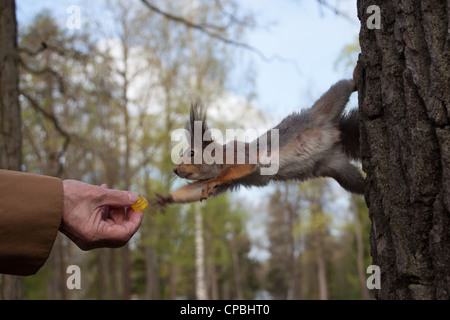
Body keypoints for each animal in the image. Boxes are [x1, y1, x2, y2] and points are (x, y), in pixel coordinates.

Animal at [154, 76, 362, 209]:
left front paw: (215, 179)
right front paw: (166, 198)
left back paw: (356, 75)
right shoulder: (229, 182)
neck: (218, 159)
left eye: (191, 153)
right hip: (339, 170)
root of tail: (337, 134)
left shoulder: (238, 154)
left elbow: (240, 166)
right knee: (358, 183)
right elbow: (194, 190)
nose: (174, 170)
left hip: (326, 107)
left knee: (344, 85)